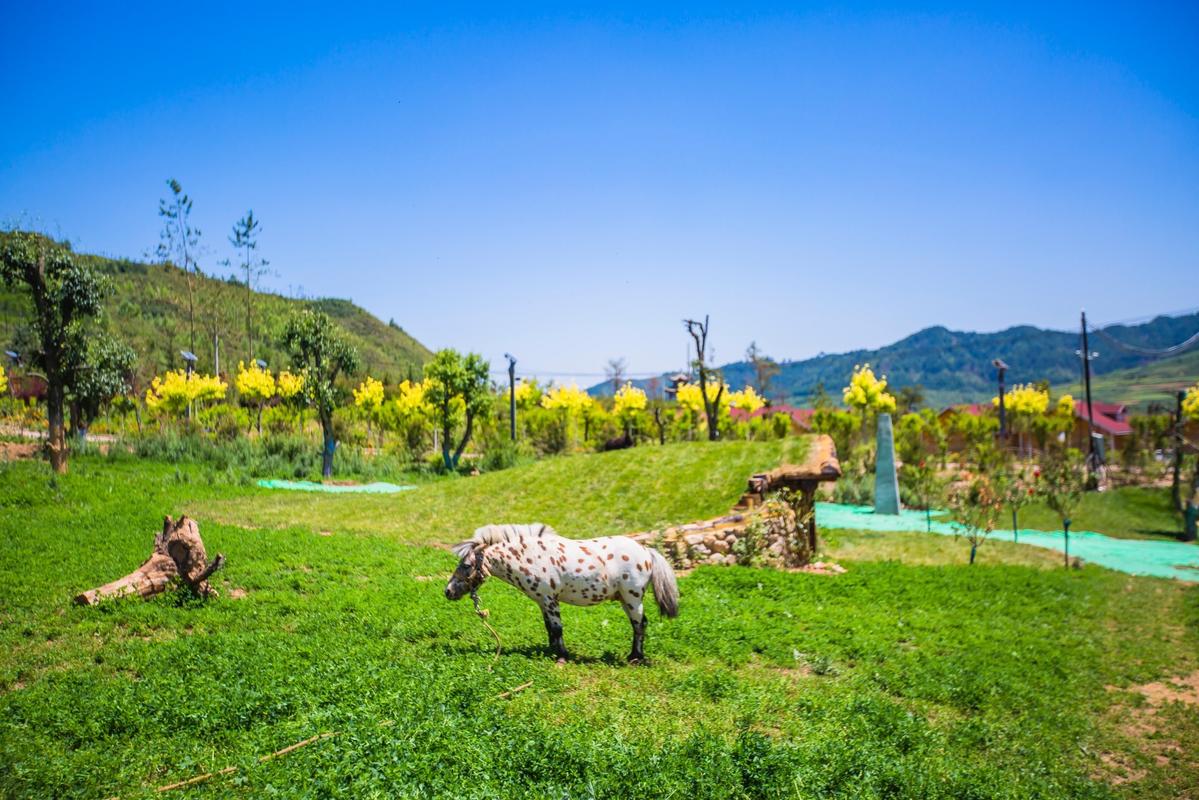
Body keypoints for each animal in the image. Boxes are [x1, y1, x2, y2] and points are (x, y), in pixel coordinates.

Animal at [446, 520, 681, 662]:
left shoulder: (550, 600)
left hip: (633, 599)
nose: (448, 591)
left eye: (465, 565)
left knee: (639, 624)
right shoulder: (542, 601)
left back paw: (635, 657)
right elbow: (549, 628)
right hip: (624, 599)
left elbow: (557, 628)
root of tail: (646, 551)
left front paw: (562, 656)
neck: (530, 556)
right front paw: (552, 651)